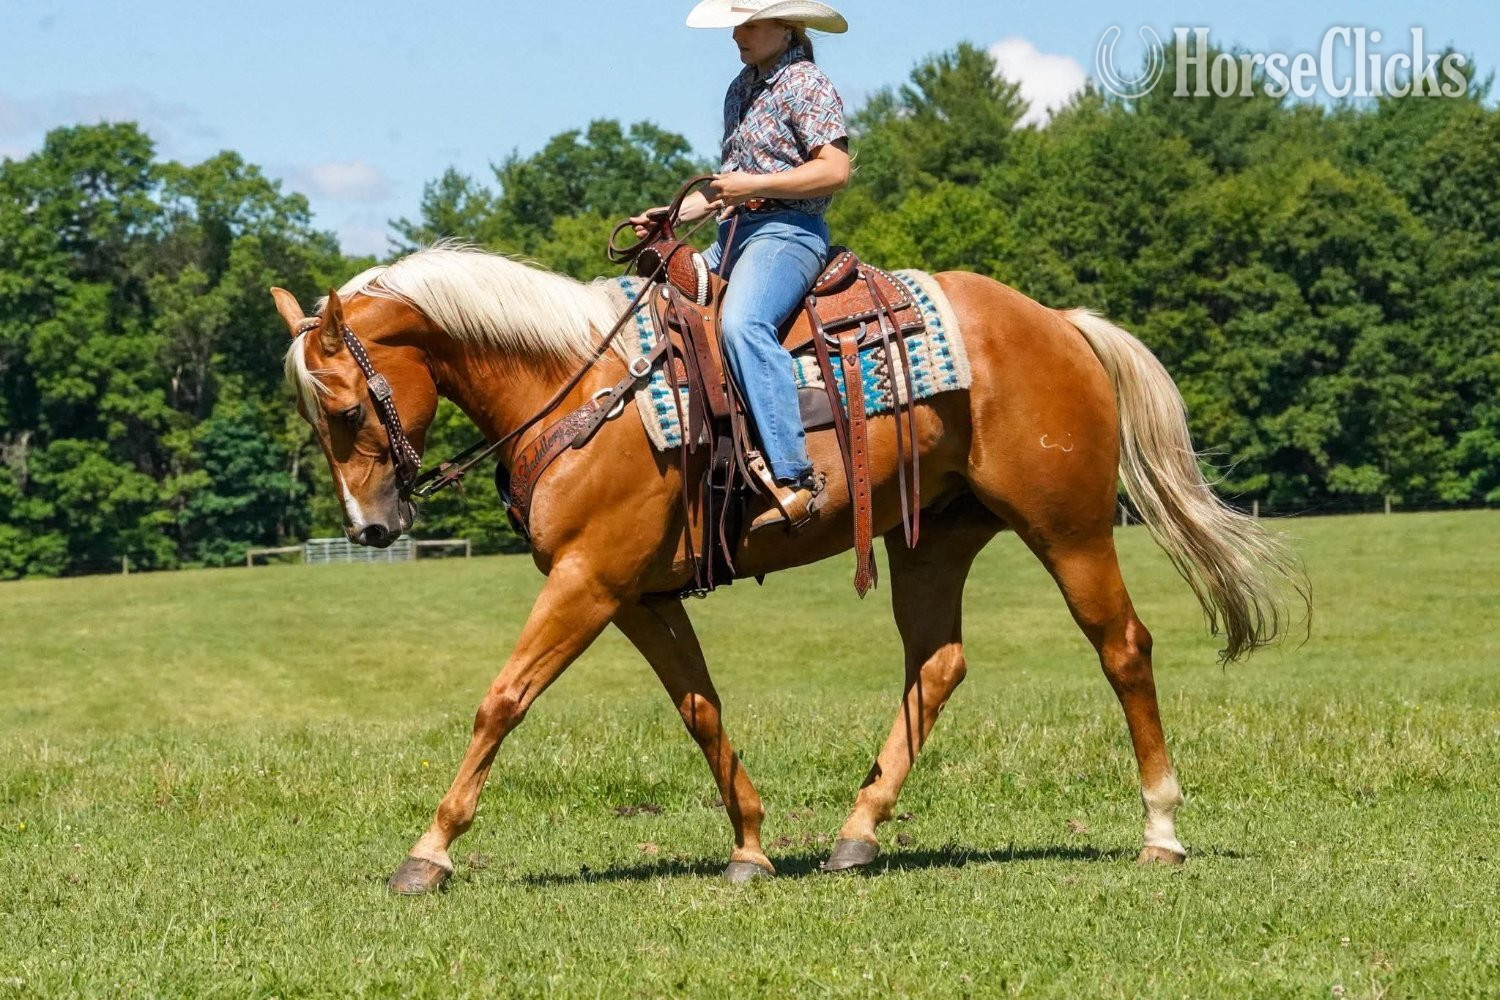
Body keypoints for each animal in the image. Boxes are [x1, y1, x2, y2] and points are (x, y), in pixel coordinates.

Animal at [272, 242, 1306, 894]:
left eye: (346, 408)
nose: (370, 528)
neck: (581, 388)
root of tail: (1057, 322)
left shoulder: (588, 581)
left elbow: (502, 700)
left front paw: (429, 852)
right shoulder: (639, 595)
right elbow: (700, 709)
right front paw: (751, 847)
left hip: (1069, 527)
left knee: (1122, 646)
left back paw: (1161, 831)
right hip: (932, 538)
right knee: (937, 665)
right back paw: (856, 833)